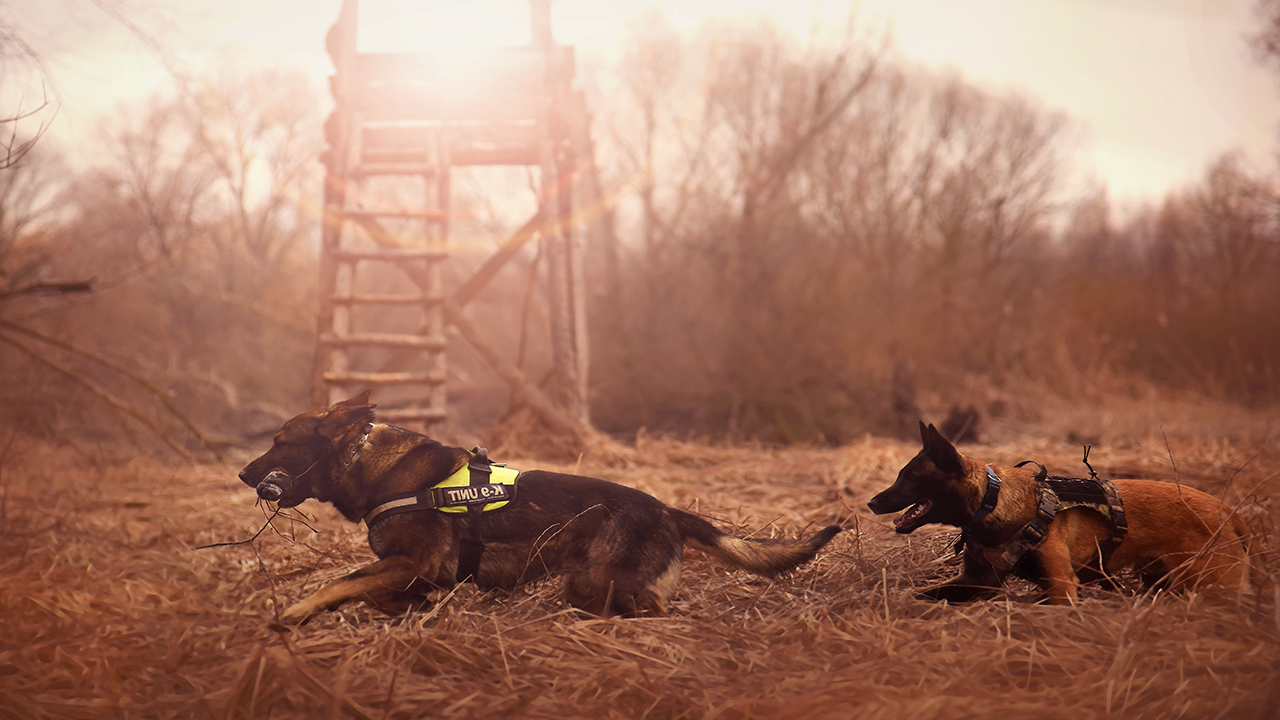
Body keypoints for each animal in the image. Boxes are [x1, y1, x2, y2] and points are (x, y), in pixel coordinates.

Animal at [238, 389, 839, 620]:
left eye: (281, 442)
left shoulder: (417, 562)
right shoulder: (414, 572)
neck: (373, 467)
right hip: (585, 585)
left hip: (604, 582)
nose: (243, 474)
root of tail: (667, 509)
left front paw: (293, 614)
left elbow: (339, 582)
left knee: (656, 609)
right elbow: (368, 588)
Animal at [865, 417, 1254, 602]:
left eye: (910, 477)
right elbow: (918, 595)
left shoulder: (1062, 586)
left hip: (1210, 583)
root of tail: (1228, 510)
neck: (992, 502)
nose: (871, 502)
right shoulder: (977, 582)